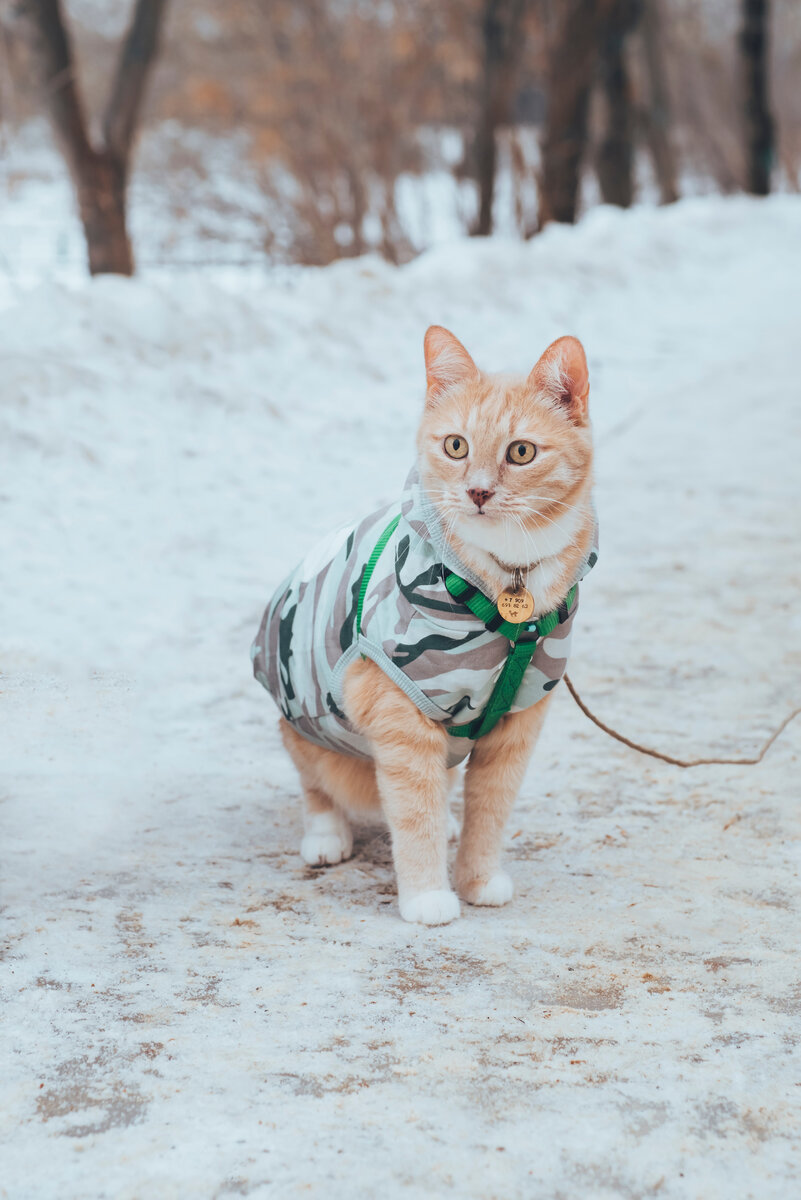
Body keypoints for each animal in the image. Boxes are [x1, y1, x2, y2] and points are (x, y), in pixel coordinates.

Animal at [250, 328, 594, 926]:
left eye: (521, 452)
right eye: (455, 446)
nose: (477, 492)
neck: (503, 587)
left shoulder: (519, 720)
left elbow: (490, 809)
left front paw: (477, 879)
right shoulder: (398, 711)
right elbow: (413, 813)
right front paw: (427, 897)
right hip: (305, 723)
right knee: (317, 784)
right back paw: (325, 835)